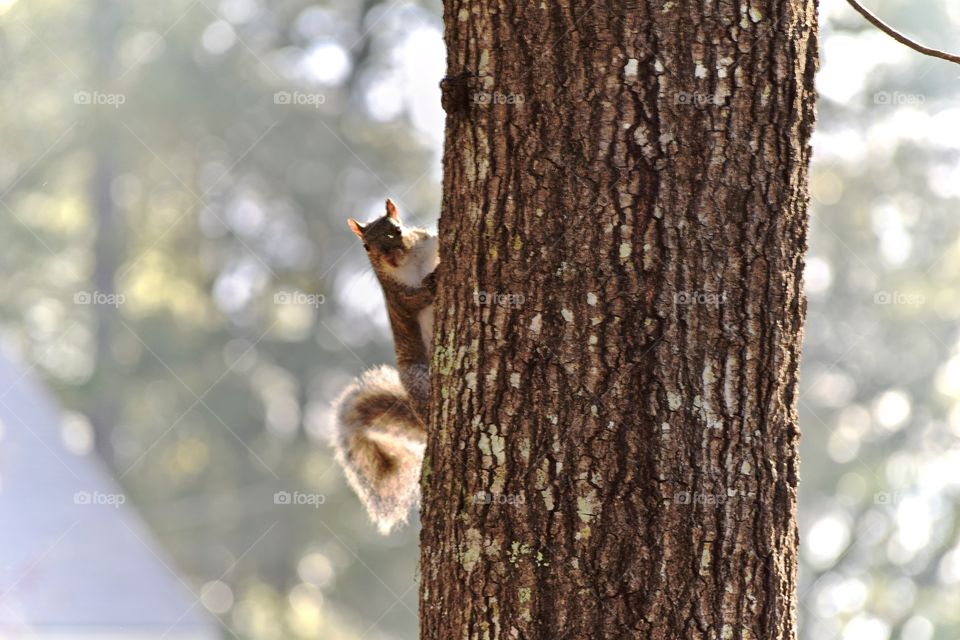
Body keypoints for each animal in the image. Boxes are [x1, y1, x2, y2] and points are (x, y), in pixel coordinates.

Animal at [330, 198, 438, 534]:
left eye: (397, 230)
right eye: (366, 246)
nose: (390, 255)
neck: (410, 263)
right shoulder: (397, 296)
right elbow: (416, 299)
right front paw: (434, 281)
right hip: (417, 378)